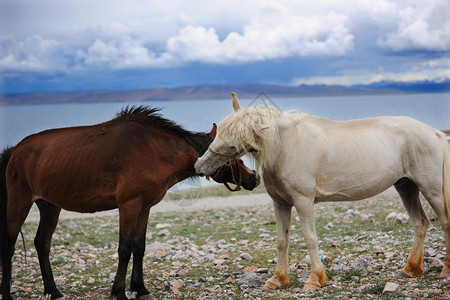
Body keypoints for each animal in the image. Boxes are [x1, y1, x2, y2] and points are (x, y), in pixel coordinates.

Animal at [0, 106, 260, 300]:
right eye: (233, 153)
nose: (254, 178)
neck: (153, 151)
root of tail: (15, 151)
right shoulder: (128, 206)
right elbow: (124, 248)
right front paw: (119, 292)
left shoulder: (144, 208)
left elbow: (139, 247)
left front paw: (140, 288)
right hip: (19, 203)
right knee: (9, 245)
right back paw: (8, 293)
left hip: (49, 205)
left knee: (42, 244)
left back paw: (53, 291)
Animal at [196, 93, 450, 290]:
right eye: (219, 134)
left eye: (232, 144)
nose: (199, 166)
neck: (287, 147)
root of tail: (433, 131)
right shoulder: (280, 203)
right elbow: (281, 241)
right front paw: (276, 280)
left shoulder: (303, 201)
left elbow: (310, 238)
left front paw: (315, 280)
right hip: (406, 186)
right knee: (420, 223)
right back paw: (410, 269)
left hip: (431, 189)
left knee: (444, 222)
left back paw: (445, 270)